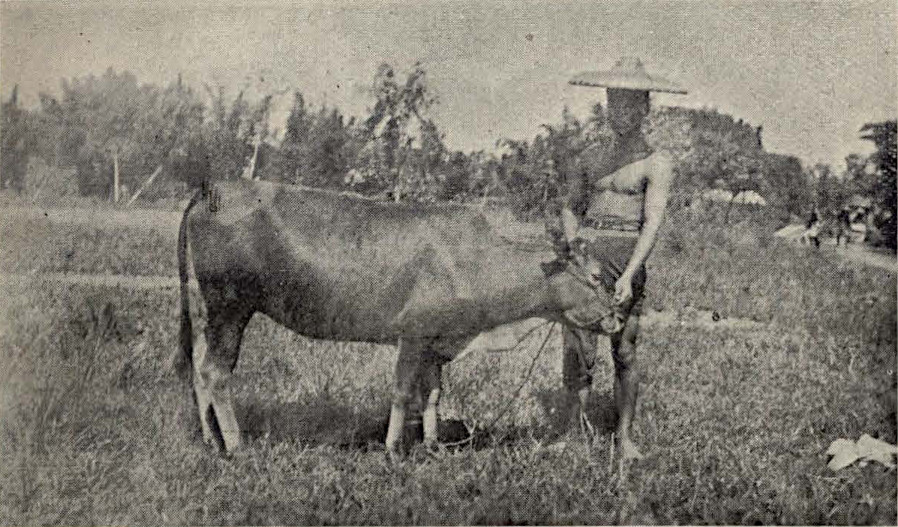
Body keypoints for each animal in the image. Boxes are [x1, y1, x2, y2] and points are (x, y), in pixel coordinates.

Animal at [175, 178, 617, 456]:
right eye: (597, 276)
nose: (617, 316)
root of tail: (212, 188)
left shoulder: (438, 338)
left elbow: (433, 393)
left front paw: (433, 445)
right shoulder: (414, 332)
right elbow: (404, 392)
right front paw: (393, 449)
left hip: (203, 307)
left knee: (197, 368)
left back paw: (211, 441)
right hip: (231, 305)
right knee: (216, 372)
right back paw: (237, 446)